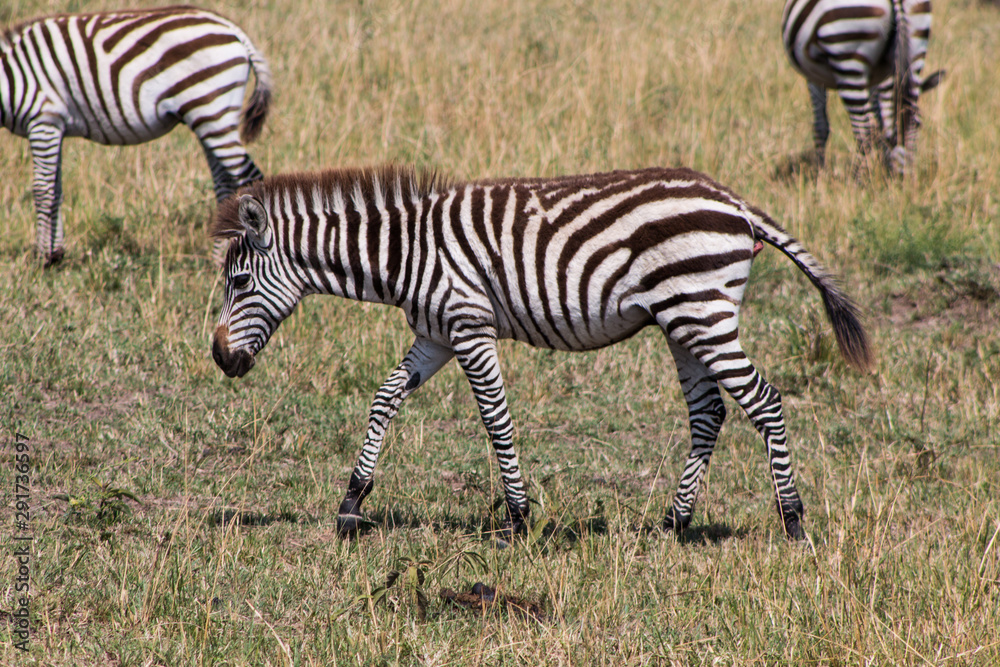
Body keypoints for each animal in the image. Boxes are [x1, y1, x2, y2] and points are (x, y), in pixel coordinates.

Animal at [0, 6, 272, 265]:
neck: (11, 79)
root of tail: (234, 30)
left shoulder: (44, 119)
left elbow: (42, 191)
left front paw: (43, 259)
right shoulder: (56, 127)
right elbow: (56, 190)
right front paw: (56, 254)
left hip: (211, 109)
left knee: (250, 177)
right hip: (211, 118)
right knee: (225, 183)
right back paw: (218, 259)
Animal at [209, 165, 873, 540]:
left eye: (237, 283)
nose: (220, 359)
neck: (406, 255)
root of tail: (735, 203)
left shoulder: (469, 328)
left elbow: (495, 420)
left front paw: (518, 520)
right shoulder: (436, 334)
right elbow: (385, 398)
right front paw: (351, 505)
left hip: (700, 311)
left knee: (764, 400)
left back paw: (792, 522)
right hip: (683, 319)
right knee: (709, 411)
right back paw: (674, 524)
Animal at [782, 0, 943, 175]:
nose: (902, 176)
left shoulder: (814, 76)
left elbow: (820, 126)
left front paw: (820, 174)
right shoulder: (877, 78)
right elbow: (881, 122)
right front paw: (883, 165)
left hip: (848, 56)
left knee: (864, 131)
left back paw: (857, 179)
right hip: (915, 52)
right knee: (903, 117)